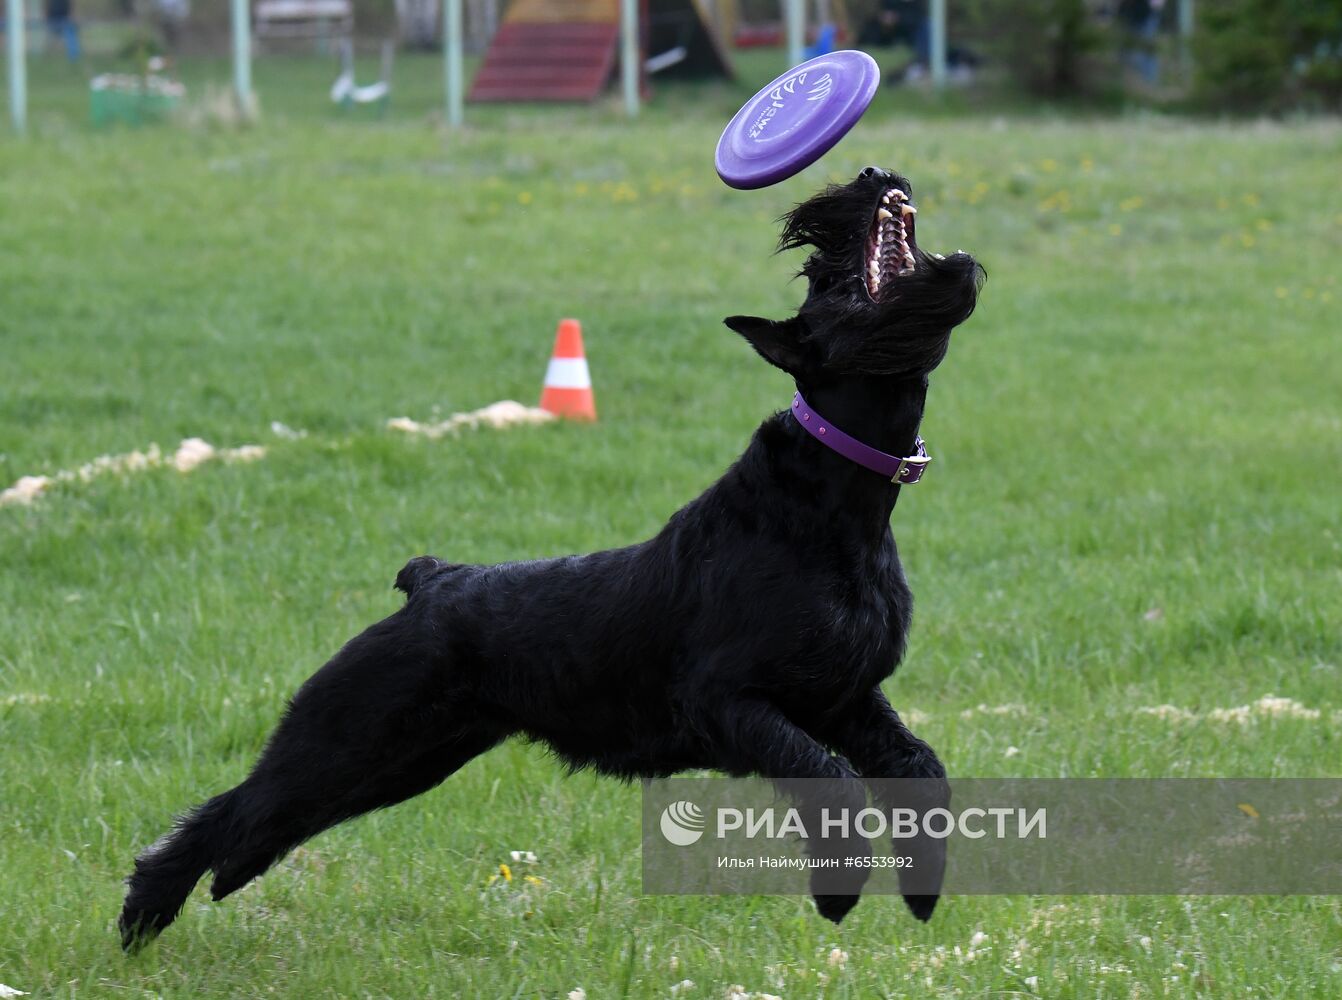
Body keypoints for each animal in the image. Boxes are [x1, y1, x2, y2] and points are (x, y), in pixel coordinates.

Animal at [123, 167, 987, 950]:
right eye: (826, 279)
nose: (870, 173)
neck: (838, 505)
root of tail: (431, 582)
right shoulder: (732, 702)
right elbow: (828, 778)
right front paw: (839, 893)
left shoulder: (844, 698)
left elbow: (920, 767)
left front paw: (922, 892)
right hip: (344, 736)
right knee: (234, 809)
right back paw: (144, 914)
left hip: (406, 758)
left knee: (255, 819)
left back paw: (208, 887)